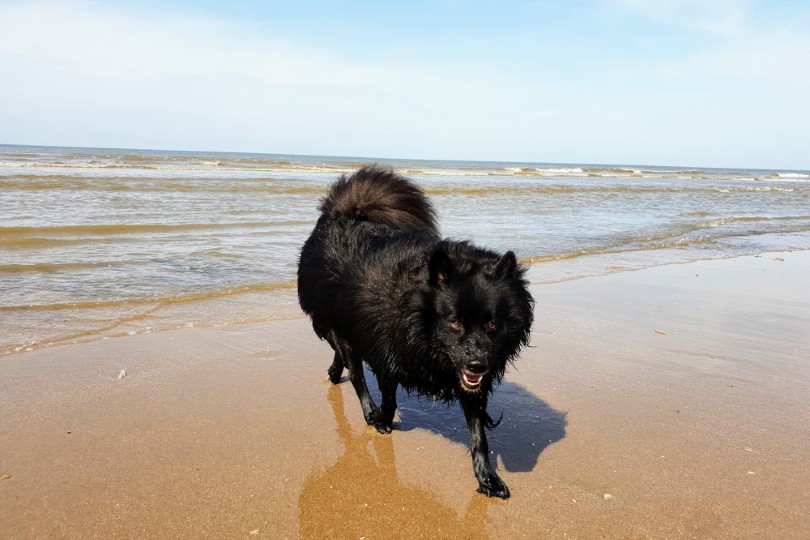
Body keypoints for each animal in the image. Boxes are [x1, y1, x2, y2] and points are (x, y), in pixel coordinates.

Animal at [296, 166, 532, 498]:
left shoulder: (469, 379)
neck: (418, 319)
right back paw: (366, 408)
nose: (477, 365)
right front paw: (381, 419)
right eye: (454, 322)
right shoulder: (387, 353)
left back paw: (334, 373)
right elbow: (388, 398)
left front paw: (487, 477)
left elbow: (478, 434)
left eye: (493, 325)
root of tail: (341, 214)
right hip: (335, 323)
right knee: (355, 372)